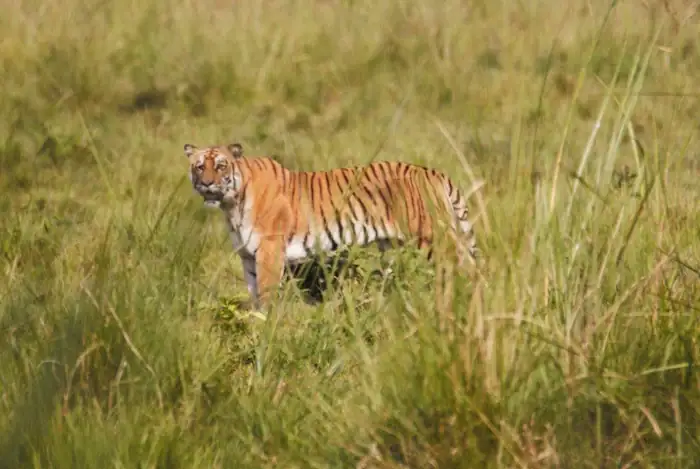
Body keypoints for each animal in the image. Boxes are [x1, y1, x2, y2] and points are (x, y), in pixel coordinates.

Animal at [184, 142, 479, 308]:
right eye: (199, 166)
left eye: (220, 166)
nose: (207, 184)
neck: (231, 204)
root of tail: (433, 172)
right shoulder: (248, 256)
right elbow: (254, 294)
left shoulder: (269, 251)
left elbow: (266, 295)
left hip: (434, 238)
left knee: (467, 270)